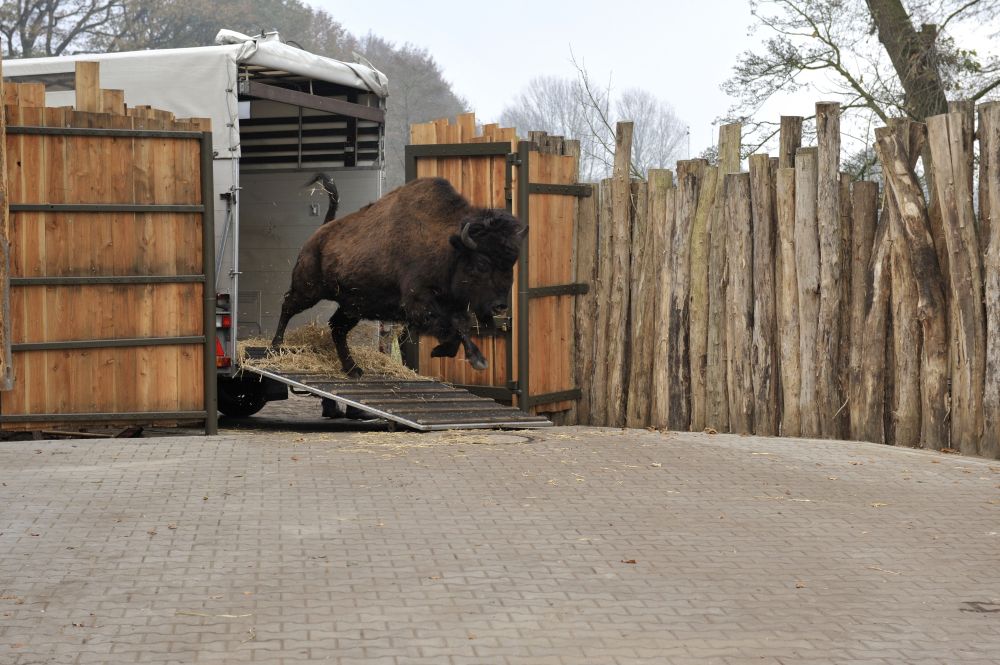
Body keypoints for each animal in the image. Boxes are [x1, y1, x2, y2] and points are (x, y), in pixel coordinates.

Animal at [270, 176, 528, 376]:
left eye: (511, 263)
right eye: (482, 263)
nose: (500, 306)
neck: (448, 246)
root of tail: (320, 232)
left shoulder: (452, 306)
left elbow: (459, 327)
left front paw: (448, 352)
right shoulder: (419, 303)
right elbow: (452, 327)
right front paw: (476, 360)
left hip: (353, 305)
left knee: (337, 327)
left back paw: (353, 369)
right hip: (309, 289)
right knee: (288, 306)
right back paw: (276, 347)